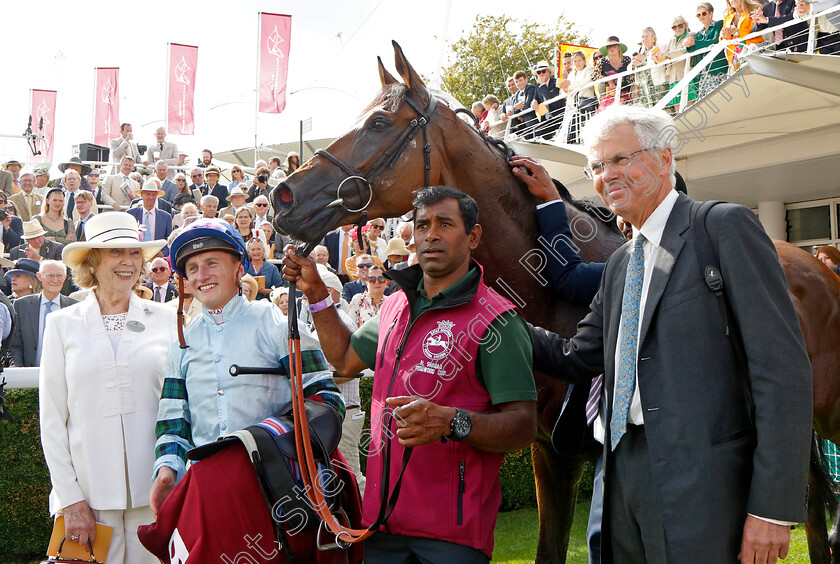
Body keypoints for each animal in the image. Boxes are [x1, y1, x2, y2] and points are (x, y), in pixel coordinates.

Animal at [274, 40, 840, 564]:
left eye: (376, 123)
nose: (284, 197)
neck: (546, 285)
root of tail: (817, 265)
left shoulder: (574, 458)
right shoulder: (548, 451)